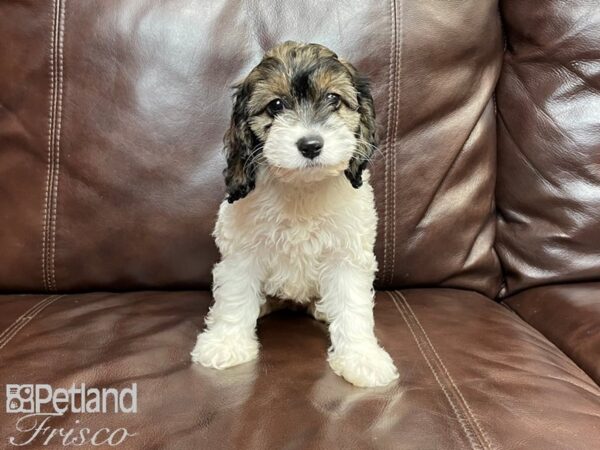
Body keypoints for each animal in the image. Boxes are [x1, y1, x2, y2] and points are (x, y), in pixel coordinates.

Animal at [192, 41, 398, 386]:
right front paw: (226, 343)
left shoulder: (346, 254)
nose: (311, 145)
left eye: (333, 99)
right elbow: (235, 295)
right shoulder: (243, 250)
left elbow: (353, 305)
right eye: (275, 105)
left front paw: (361, 358)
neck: (302, 187)